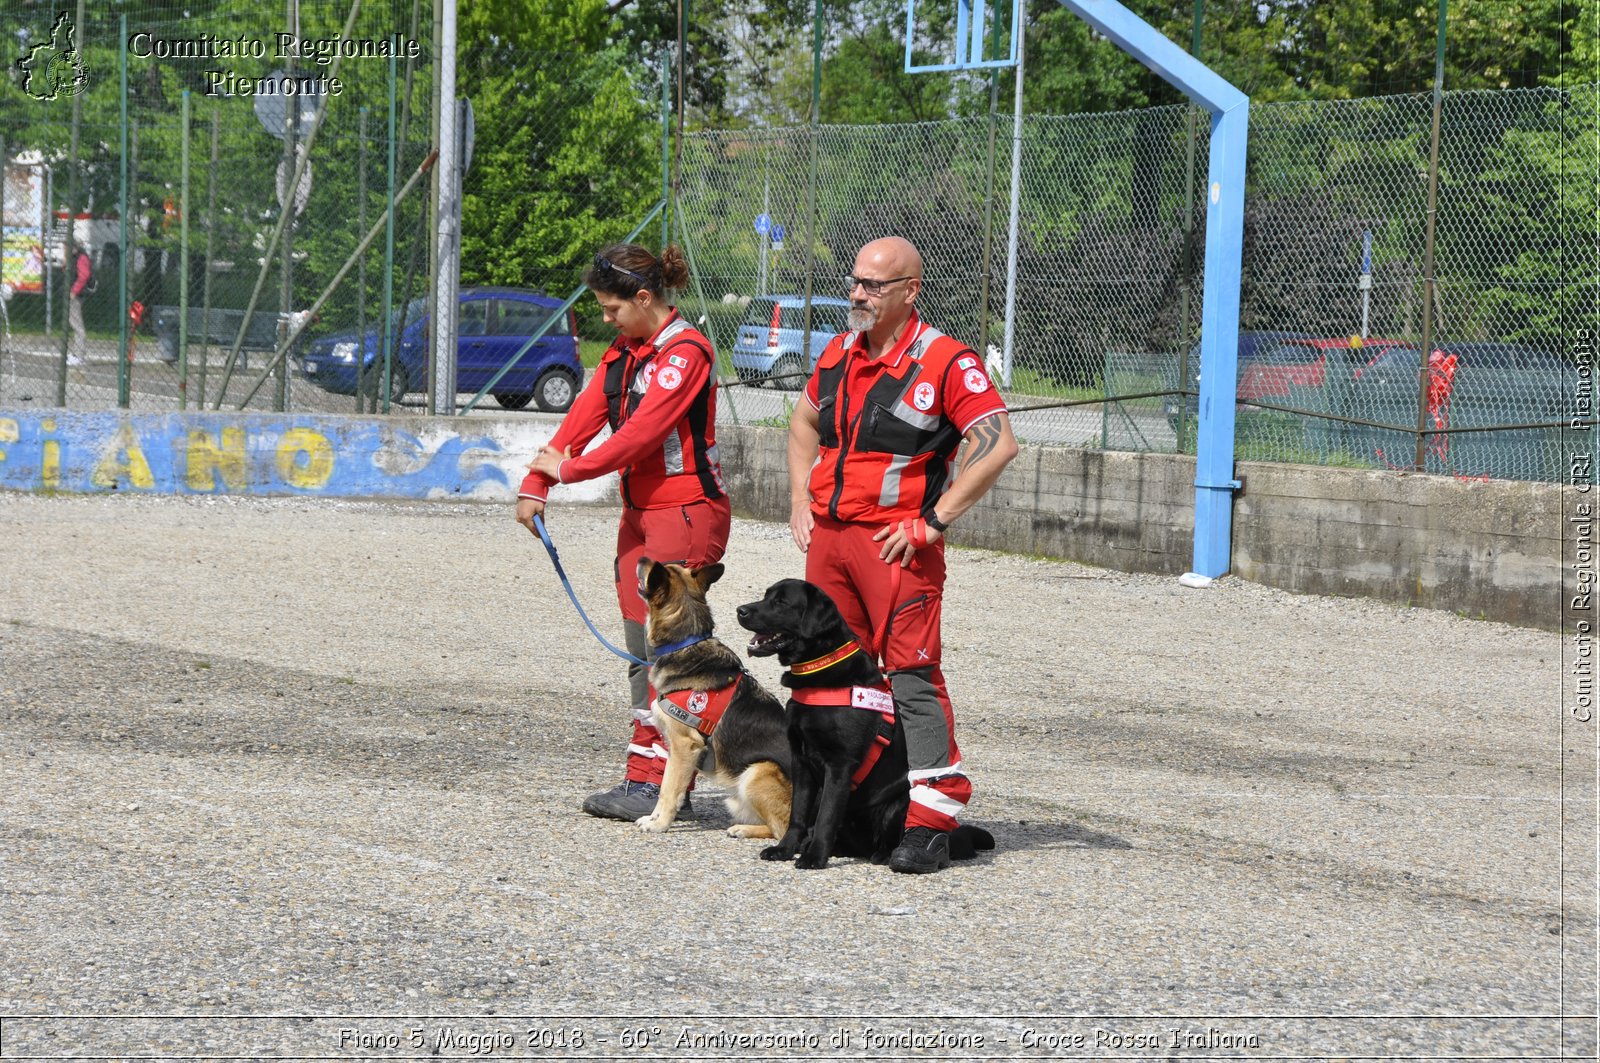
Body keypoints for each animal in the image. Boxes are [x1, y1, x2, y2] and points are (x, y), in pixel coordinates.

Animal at [630, 557, 793, 838]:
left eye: (653, 570)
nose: (642, 558)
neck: (686, 643)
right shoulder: (675, 751)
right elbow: (666, 786)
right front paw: (653, 818)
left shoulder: (685, 746)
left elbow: (669, 792)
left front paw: (660, 825)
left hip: (758, 771)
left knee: (781, 830)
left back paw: (743, 829)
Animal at [732, 582, 985, 870]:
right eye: (766, 596)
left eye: (782, 602)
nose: (741, 610)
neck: (820, 673)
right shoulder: (801, 761)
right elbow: (798, 814)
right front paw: (784, 849)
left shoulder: (839, 766)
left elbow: (826, 817)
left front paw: (814, 857)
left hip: (901, 799)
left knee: (888, 839)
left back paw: (885, 855)